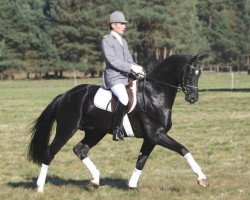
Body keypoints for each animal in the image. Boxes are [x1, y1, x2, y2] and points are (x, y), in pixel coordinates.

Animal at [28, 53, 208, 192]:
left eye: (199, 73)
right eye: (190, 74)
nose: (193, 98)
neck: (154, 94)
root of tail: (65, 95)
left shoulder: (150, 138)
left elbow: (141, 161)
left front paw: (132, 186)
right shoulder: (156, 135)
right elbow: (183, 149)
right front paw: (201, 178)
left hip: (95, 132)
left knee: (80, 149)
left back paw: (95, 180)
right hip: (67, 129)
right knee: (50, 153)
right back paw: (40, 188)